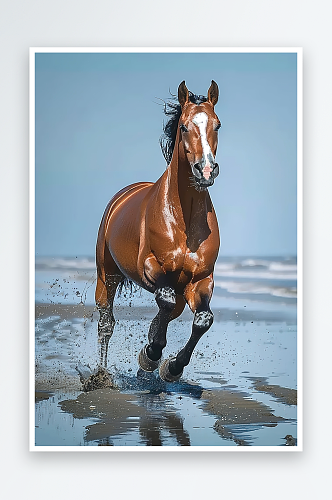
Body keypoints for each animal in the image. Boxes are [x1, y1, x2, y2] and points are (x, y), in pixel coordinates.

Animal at [95, 80, 220, 380]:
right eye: (184, 126)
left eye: (217, 125)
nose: (206, 170)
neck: (183, 220)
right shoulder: (150, 267)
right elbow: (163, 300)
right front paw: (151, 355)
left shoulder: (201, 280)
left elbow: (203, 319)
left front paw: (171, 366)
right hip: (107, 274)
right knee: (106, 323)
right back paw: (101, 375)